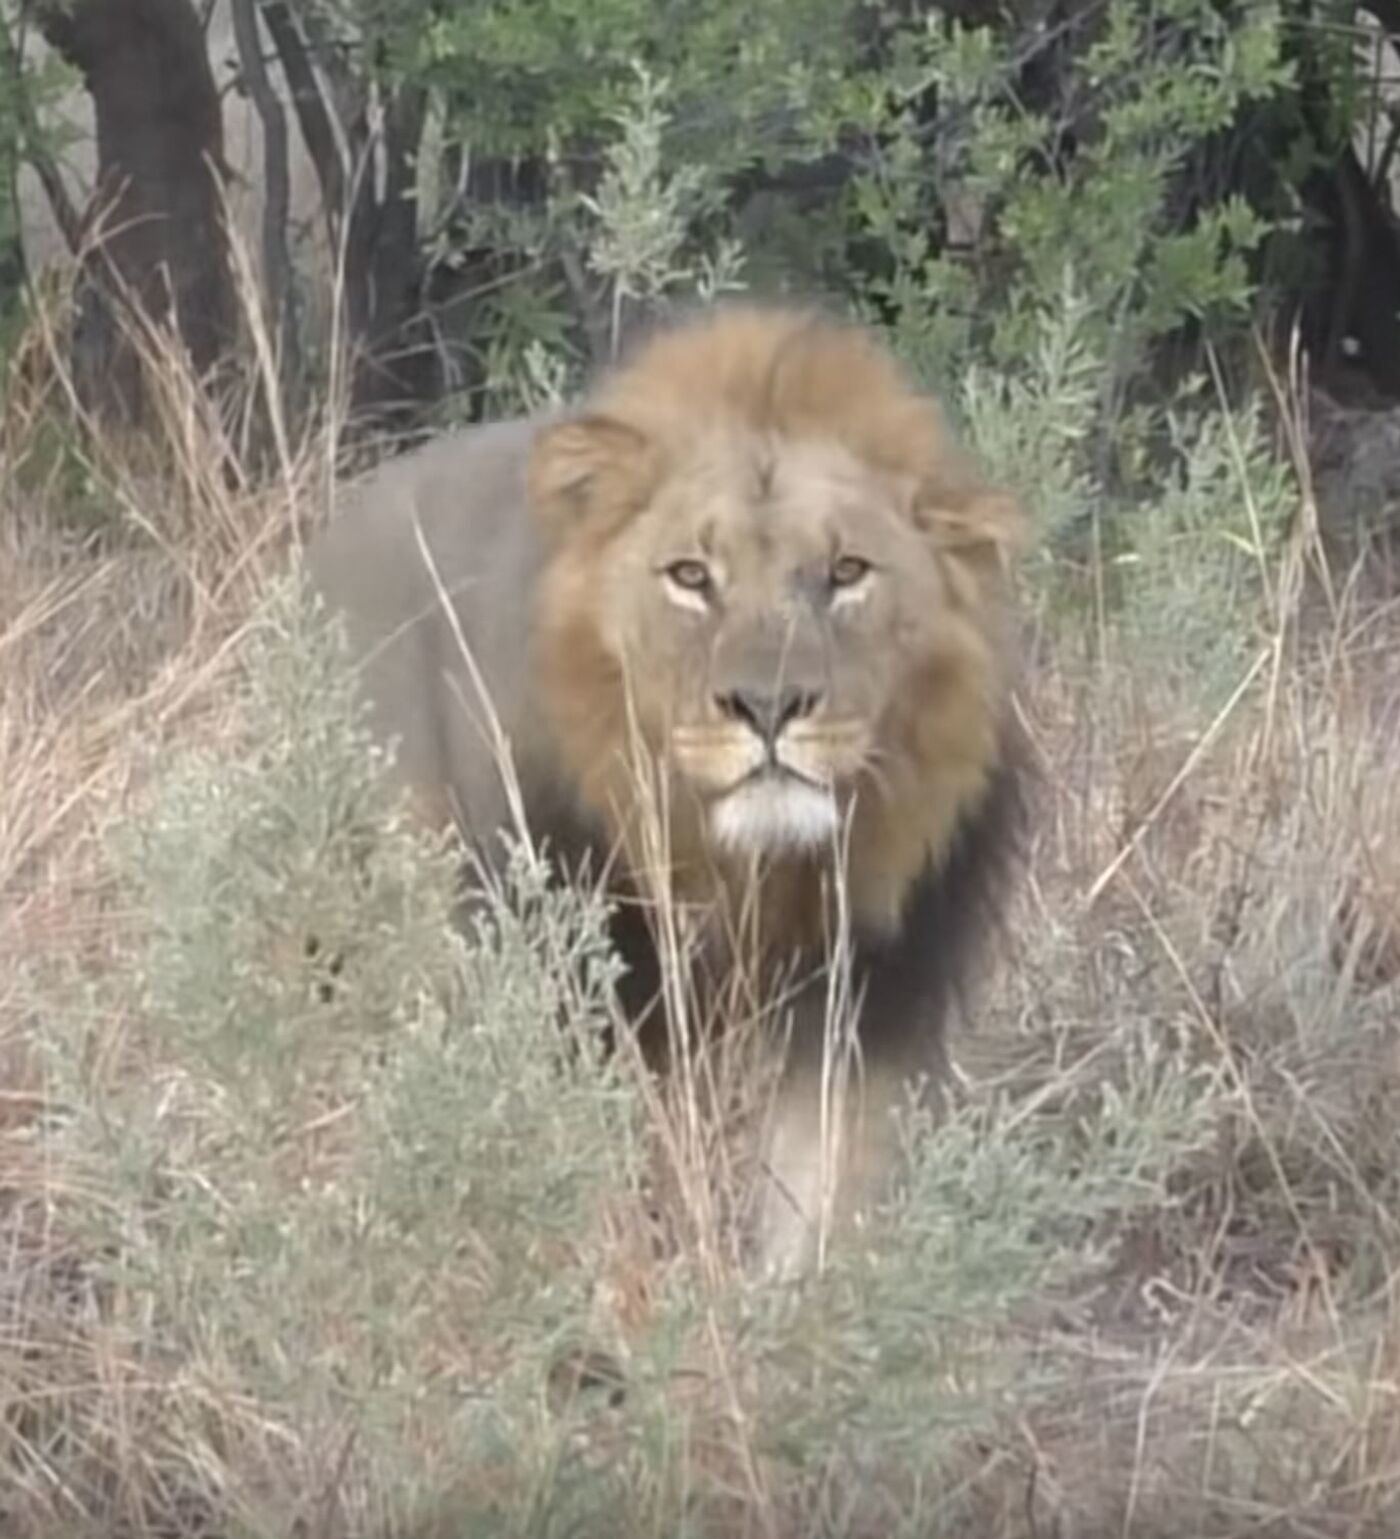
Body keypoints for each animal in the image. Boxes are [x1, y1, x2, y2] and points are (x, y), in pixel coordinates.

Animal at [304, 303, 1027, 1274]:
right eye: (691, 576)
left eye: (846, 572)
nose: (769, 704)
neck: (749, 873)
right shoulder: (580, 1001)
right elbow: (594, 1200)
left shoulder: (867, 1009)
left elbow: (821, 1210)